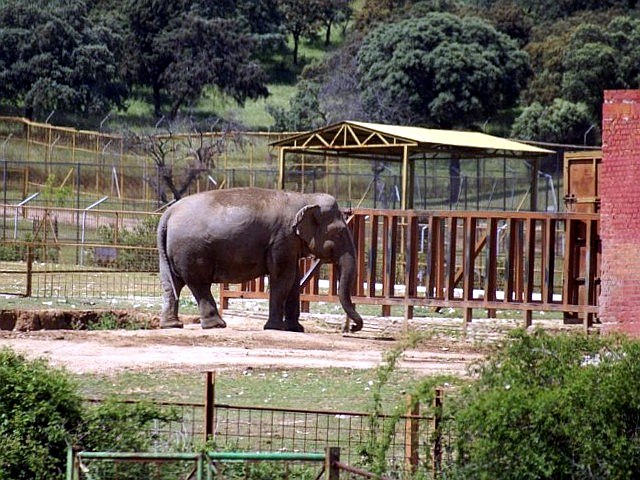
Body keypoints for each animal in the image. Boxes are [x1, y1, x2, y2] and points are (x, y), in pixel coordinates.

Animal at [157, 188, 362, 334]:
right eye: (339, 232)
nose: (352, 328)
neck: (305, 198)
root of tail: (167, 214)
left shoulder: (289, 243)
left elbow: (294, 279)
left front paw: (296, 329)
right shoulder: (282, 238)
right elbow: (283, 278)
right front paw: (276, 328)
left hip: (170, 252)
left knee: (171, 284)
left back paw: (172, 325)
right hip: (191, 251)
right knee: (199, 284)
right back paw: (216, 325)